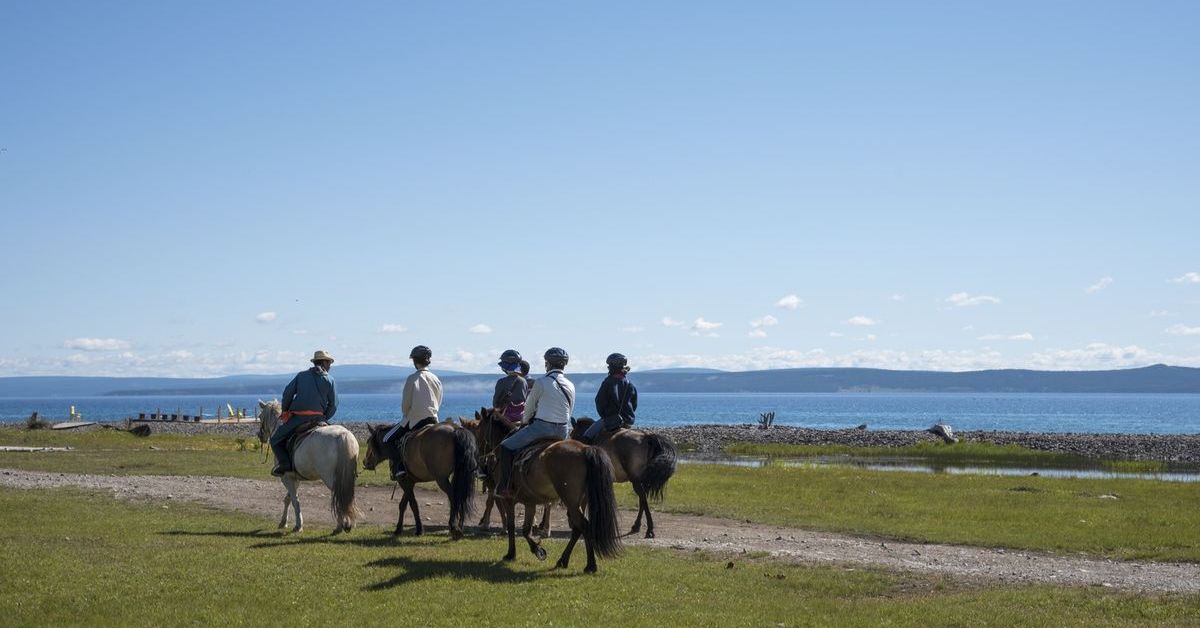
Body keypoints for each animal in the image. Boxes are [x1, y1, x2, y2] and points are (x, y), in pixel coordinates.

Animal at [255, 401, 357, 533]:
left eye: (260, 416)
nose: (260, 435)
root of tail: (342, 435)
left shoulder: (286, 478)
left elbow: (295, 501)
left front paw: (298, 525)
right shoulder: (295, 478)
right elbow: (288, 499)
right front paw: (283, 522)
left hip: (331, 479)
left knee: (338, 497)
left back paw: (340, 526)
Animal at [472, 408, 619, 573]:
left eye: (478, 429)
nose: (480, 461)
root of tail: (585, 449)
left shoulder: (509, 500)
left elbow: (512, 526)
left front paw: (511, 554)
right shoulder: (530, 502)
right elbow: (525, 530)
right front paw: (537, 550)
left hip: (571, 501)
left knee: (584, 526)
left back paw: (590, 565)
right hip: (580, 501)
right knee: (577, 528)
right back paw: (563, 560)